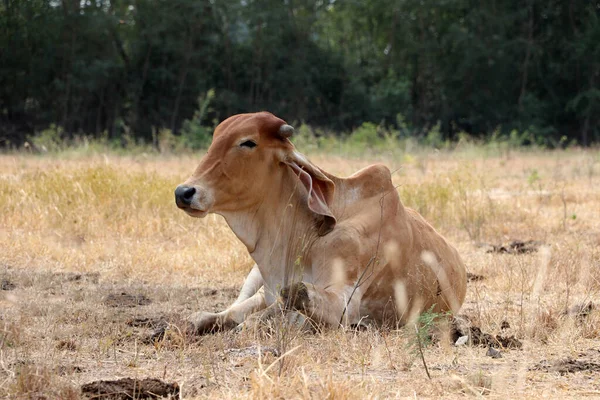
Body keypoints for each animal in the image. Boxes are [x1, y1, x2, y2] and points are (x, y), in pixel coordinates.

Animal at [176, 111, 466, 332]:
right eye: (215, 139)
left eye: (248, 142)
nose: (184, 192)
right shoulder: (265, 291)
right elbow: (228, 313)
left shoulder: (342, 303)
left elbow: (282, 305)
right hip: (253, 276)